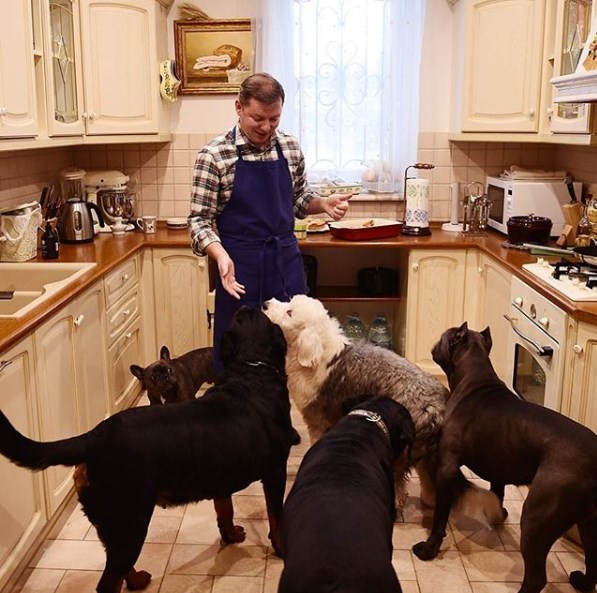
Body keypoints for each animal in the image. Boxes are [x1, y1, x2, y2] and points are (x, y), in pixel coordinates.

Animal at [0, 307, 293, 593]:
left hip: (116, 525)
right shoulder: (275, 471)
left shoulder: (221, 474)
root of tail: (91, 439)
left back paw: (137, 579)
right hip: (131, 520)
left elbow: (225, 509)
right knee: (108, 582)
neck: (251, 370)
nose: (246, 303)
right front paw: (282, 549)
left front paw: (230, 536)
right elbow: (276, 516)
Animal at [263, 295, 500, 517]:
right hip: (425, 451)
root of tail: (438, 408)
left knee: (400, 485)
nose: (265, 304)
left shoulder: (318, 421)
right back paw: (428, 502)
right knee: (428, 481)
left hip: (401, 450)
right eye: (288, 302)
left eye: (290, 312)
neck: (319, 355)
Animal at [413, 322, 597, 593]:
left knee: (536, 577)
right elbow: (496, 493)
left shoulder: (447, 468)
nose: (436, 342)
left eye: (445, 336)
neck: (474, 375)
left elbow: (440, 516)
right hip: (589, 522)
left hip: (536, 518)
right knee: (593, 560)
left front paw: (429, 549)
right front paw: (498, 514)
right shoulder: (498, 468)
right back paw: (581, 582)